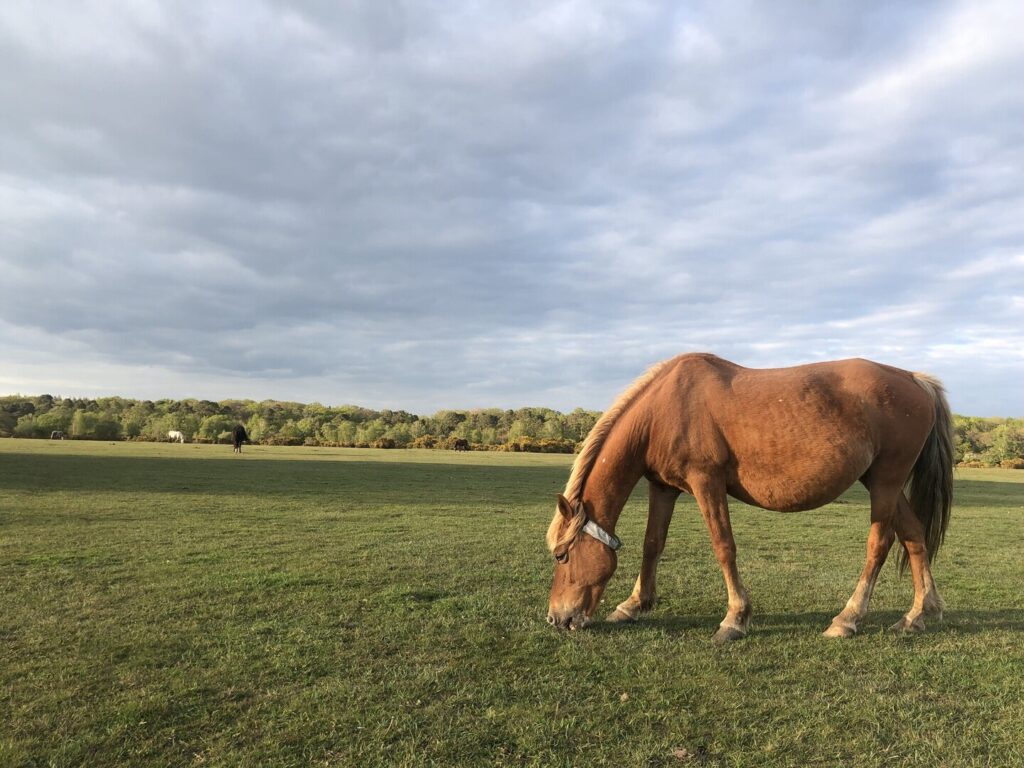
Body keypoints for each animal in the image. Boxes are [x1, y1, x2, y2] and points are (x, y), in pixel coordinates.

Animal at [546, 353, 953, 643]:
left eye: (561, 555)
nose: (556, 618)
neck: (664, 409)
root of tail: (914, 379)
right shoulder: (663, 488)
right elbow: (653, 544)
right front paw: (633, 605)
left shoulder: (706, 482)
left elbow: (723, 546)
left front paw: (735, 618)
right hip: (882, 483)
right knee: (914, 536)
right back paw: (918, 614)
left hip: (886, 481)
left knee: (880, 544)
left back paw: (847, 618)